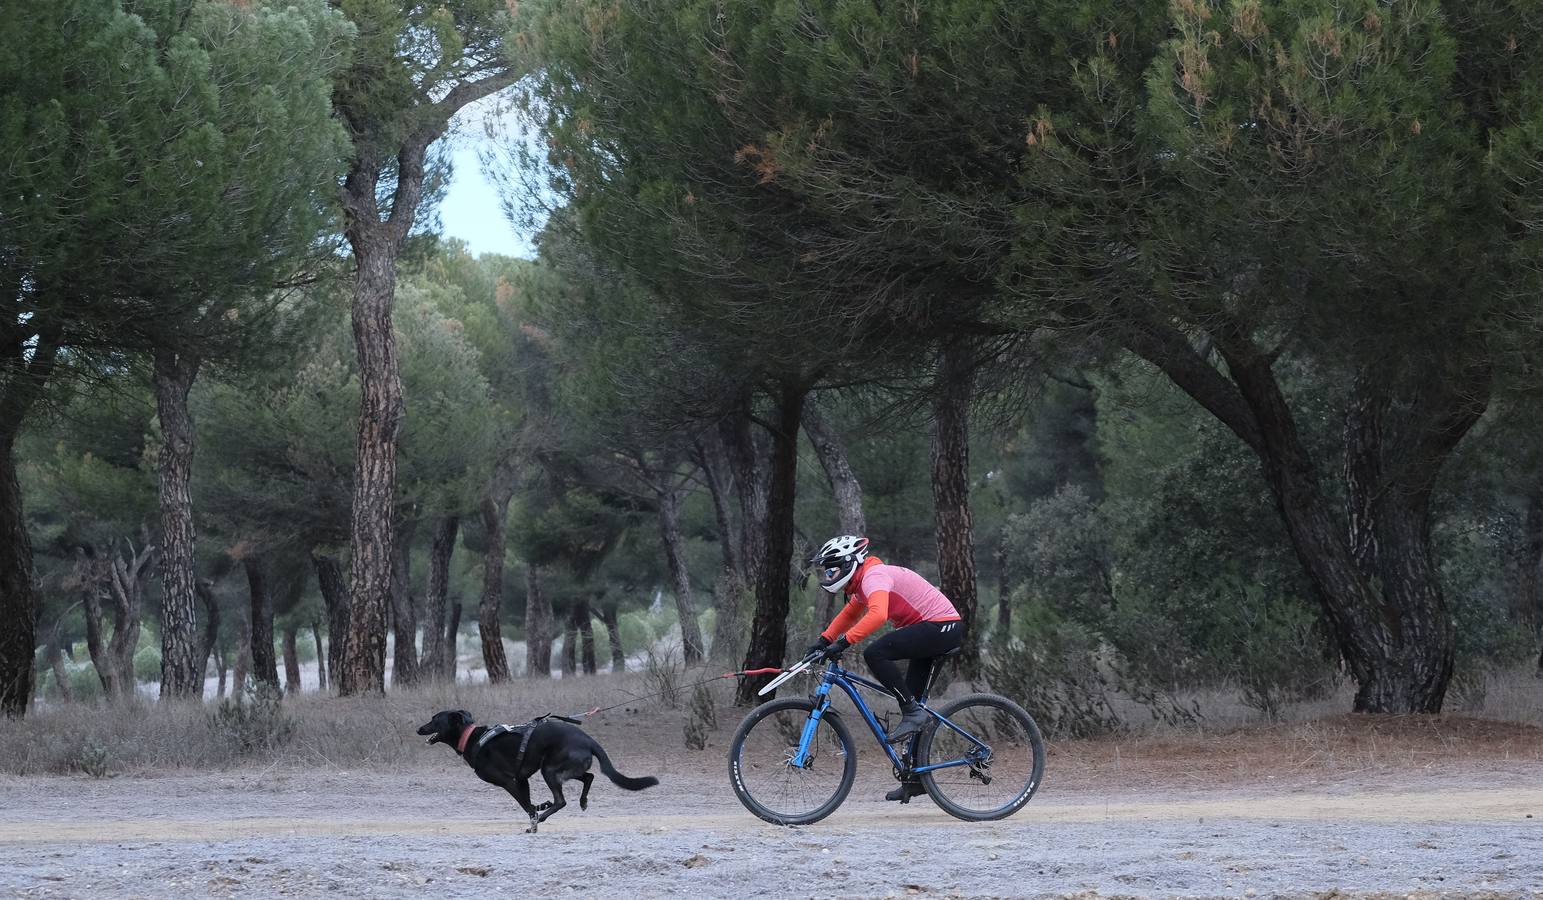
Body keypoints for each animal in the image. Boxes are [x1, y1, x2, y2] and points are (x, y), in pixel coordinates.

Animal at [416, 710, 657, 833]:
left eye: (434, 719)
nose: (418, 729)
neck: (471, 737)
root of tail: (588, 740)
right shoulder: (522, 779)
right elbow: (529, 802)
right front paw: (540, 807)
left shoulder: (508, 782)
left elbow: (525, 805)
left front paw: (534, 821)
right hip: (562, 769)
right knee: (589, 776)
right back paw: (582, 802)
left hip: (549, 770)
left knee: (561, 800)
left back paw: (543, 818)